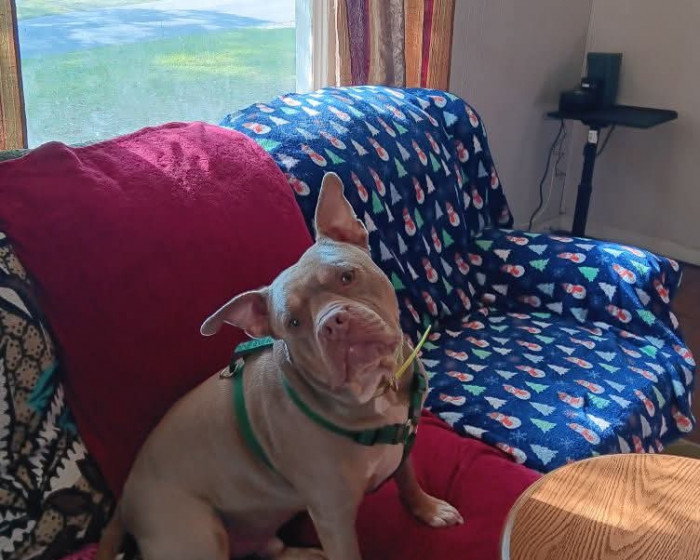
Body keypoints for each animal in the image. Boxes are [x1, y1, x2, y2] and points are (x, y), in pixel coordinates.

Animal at [96, 173, 462, 560]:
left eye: (347, 277)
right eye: (293, 323)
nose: (333, 324)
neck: (373, 392)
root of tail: (125, 503)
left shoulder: (404, 447)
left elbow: (407, 478)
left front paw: (427, 508)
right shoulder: (334, 519)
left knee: (271, 549)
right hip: (200, 534)